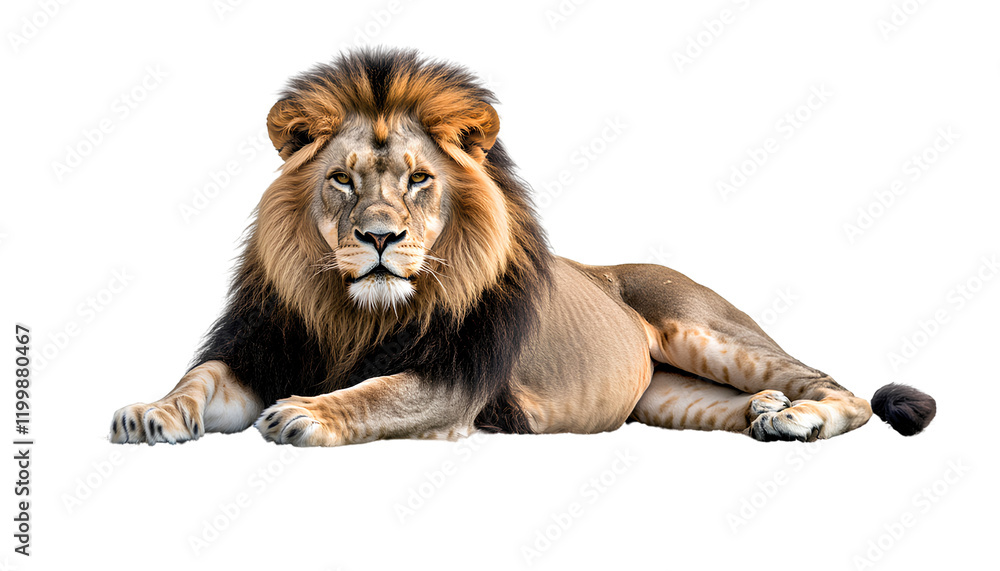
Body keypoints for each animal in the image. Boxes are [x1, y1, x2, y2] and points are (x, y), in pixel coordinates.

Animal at [109, 48, 936, 446]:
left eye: (418, 179)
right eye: (342, 180)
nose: (379, 237)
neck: (357, 312)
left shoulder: (453, 379)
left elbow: (380, 390)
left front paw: (306, 412)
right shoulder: (259, 350)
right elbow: (199, 378)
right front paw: (149, 411)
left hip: (707, 327)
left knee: (835, 384)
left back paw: (799, 417)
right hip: (669, 395)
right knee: (737, 400)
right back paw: (765, 411)